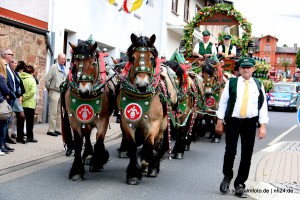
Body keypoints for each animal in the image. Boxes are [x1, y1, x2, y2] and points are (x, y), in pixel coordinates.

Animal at [62, 39, 115, 180]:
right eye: (74, 64)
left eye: (92, 63)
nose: (84, 91)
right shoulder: (74, 118)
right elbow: (79, 142)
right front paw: (77, 171)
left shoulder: (103, 119)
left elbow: (99, 139)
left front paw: (98, 161)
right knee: (87, 135)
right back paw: (88, 154)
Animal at [117, 33, 172, 185]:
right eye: (132, 57)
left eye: (151, 58)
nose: (142, 85)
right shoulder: (127, 122)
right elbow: (132, 146)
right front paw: (133, 174)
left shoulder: (155, 123)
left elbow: (148, 145)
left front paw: (148, 162)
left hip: (163, 125)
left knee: (157, 143)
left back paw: (152, 167)